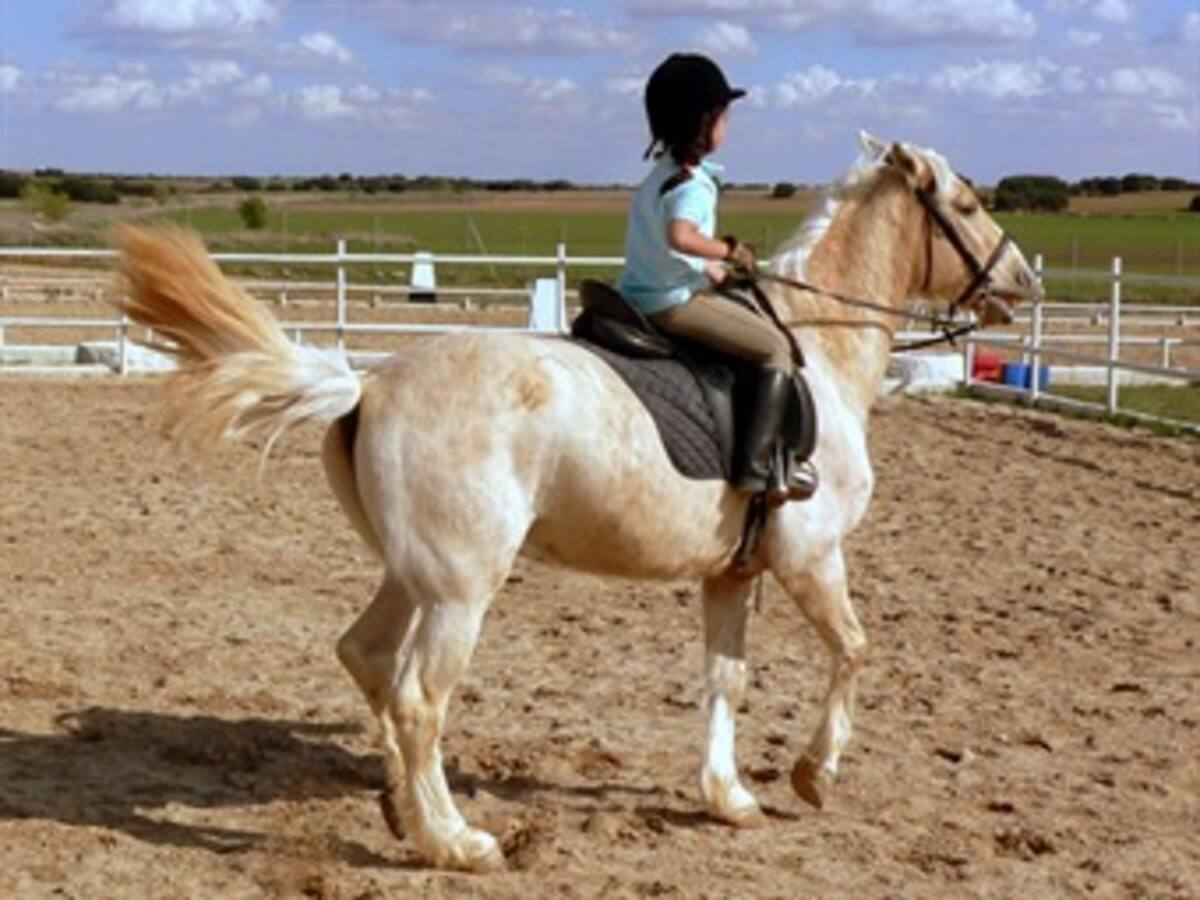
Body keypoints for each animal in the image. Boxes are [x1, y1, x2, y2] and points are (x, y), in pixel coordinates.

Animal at [112, 132, 1040, 872]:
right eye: (965, 204)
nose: (1023, 283)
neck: (818, 352)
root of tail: (369, 385)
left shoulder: (733, 573)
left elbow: (726, 679)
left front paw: (727, 797)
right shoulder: (811, 558)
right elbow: (854, 650)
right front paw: (814, 775)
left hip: (415, 576)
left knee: (366, 657)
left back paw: (402, 812)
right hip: (460, 590)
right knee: (417, 699)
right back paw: (456, 842)